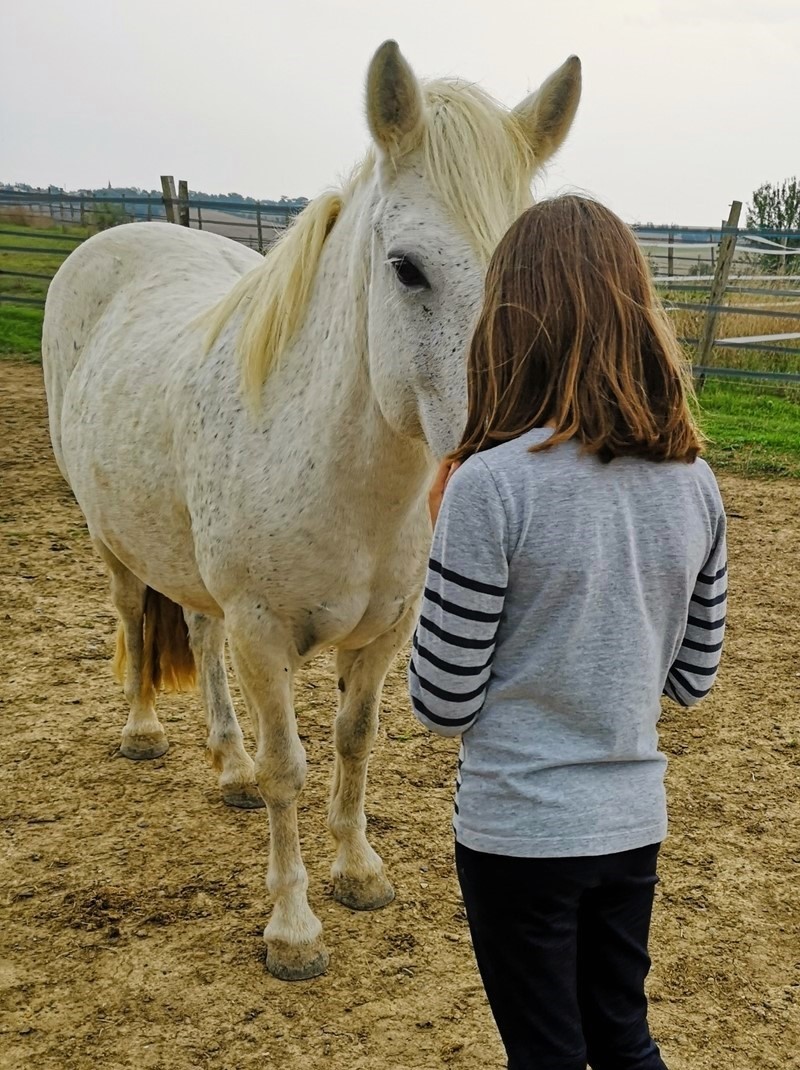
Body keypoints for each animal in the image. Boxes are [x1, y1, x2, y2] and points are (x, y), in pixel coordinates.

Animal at [42, 41, 581, 980]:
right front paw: (292, 929)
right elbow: (287, 770)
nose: (509, 443)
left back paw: (225, 768)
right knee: (136, 619)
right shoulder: (264, 636)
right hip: (110, 536)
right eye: (406, 267)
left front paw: (358, 871)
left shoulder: (384, 634)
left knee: (196, 633)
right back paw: (144, 732)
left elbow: (354, 742)